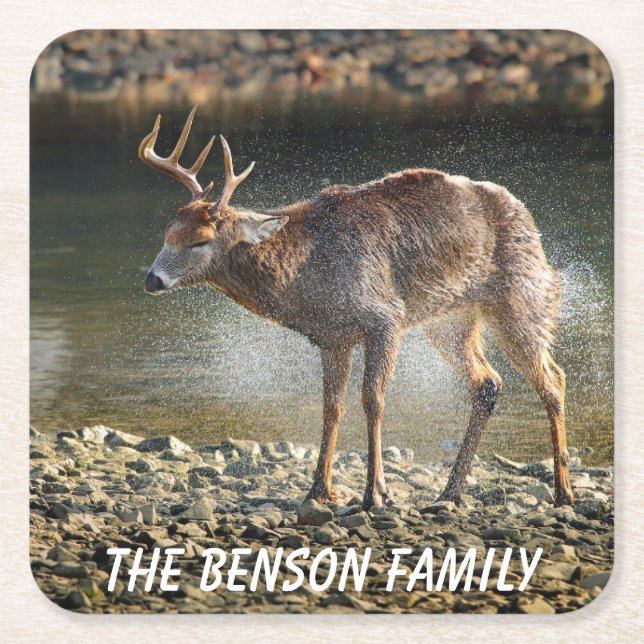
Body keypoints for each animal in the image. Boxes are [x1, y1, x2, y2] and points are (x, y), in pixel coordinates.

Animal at [140, 106, 575, 511]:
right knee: (487, 382)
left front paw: (375, 492)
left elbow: (373, 400)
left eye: (200, 240)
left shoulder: (385, 316)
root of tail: (526, 214)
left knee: (552, 378)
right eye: (166, 233)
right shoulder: (332, 337)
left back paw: (563, 491)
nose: (152, 279)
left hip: (520, 294)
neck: (307, 278)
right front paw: (319, 490)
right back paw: (449, 493)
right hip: (451, 319)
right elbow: (332, 407)